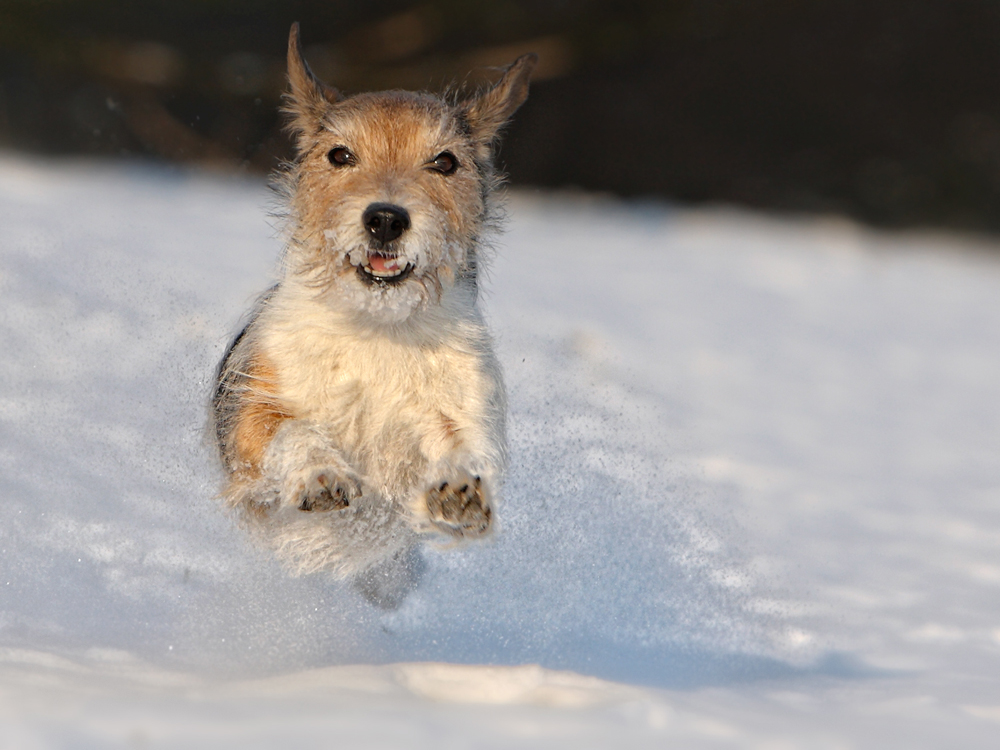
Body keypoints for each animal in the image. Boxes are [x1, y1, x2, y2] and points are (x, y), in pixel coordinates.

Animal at [213, 20, 540, 604]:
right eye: (340, 156)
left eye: (445, 162)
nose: (386, 218)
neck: (376, 327)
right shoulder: (254, 403)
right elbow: (285, 431)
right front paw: (320, 474)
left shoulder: (463, 399)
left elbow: (462, 443)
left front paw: (461, 490)